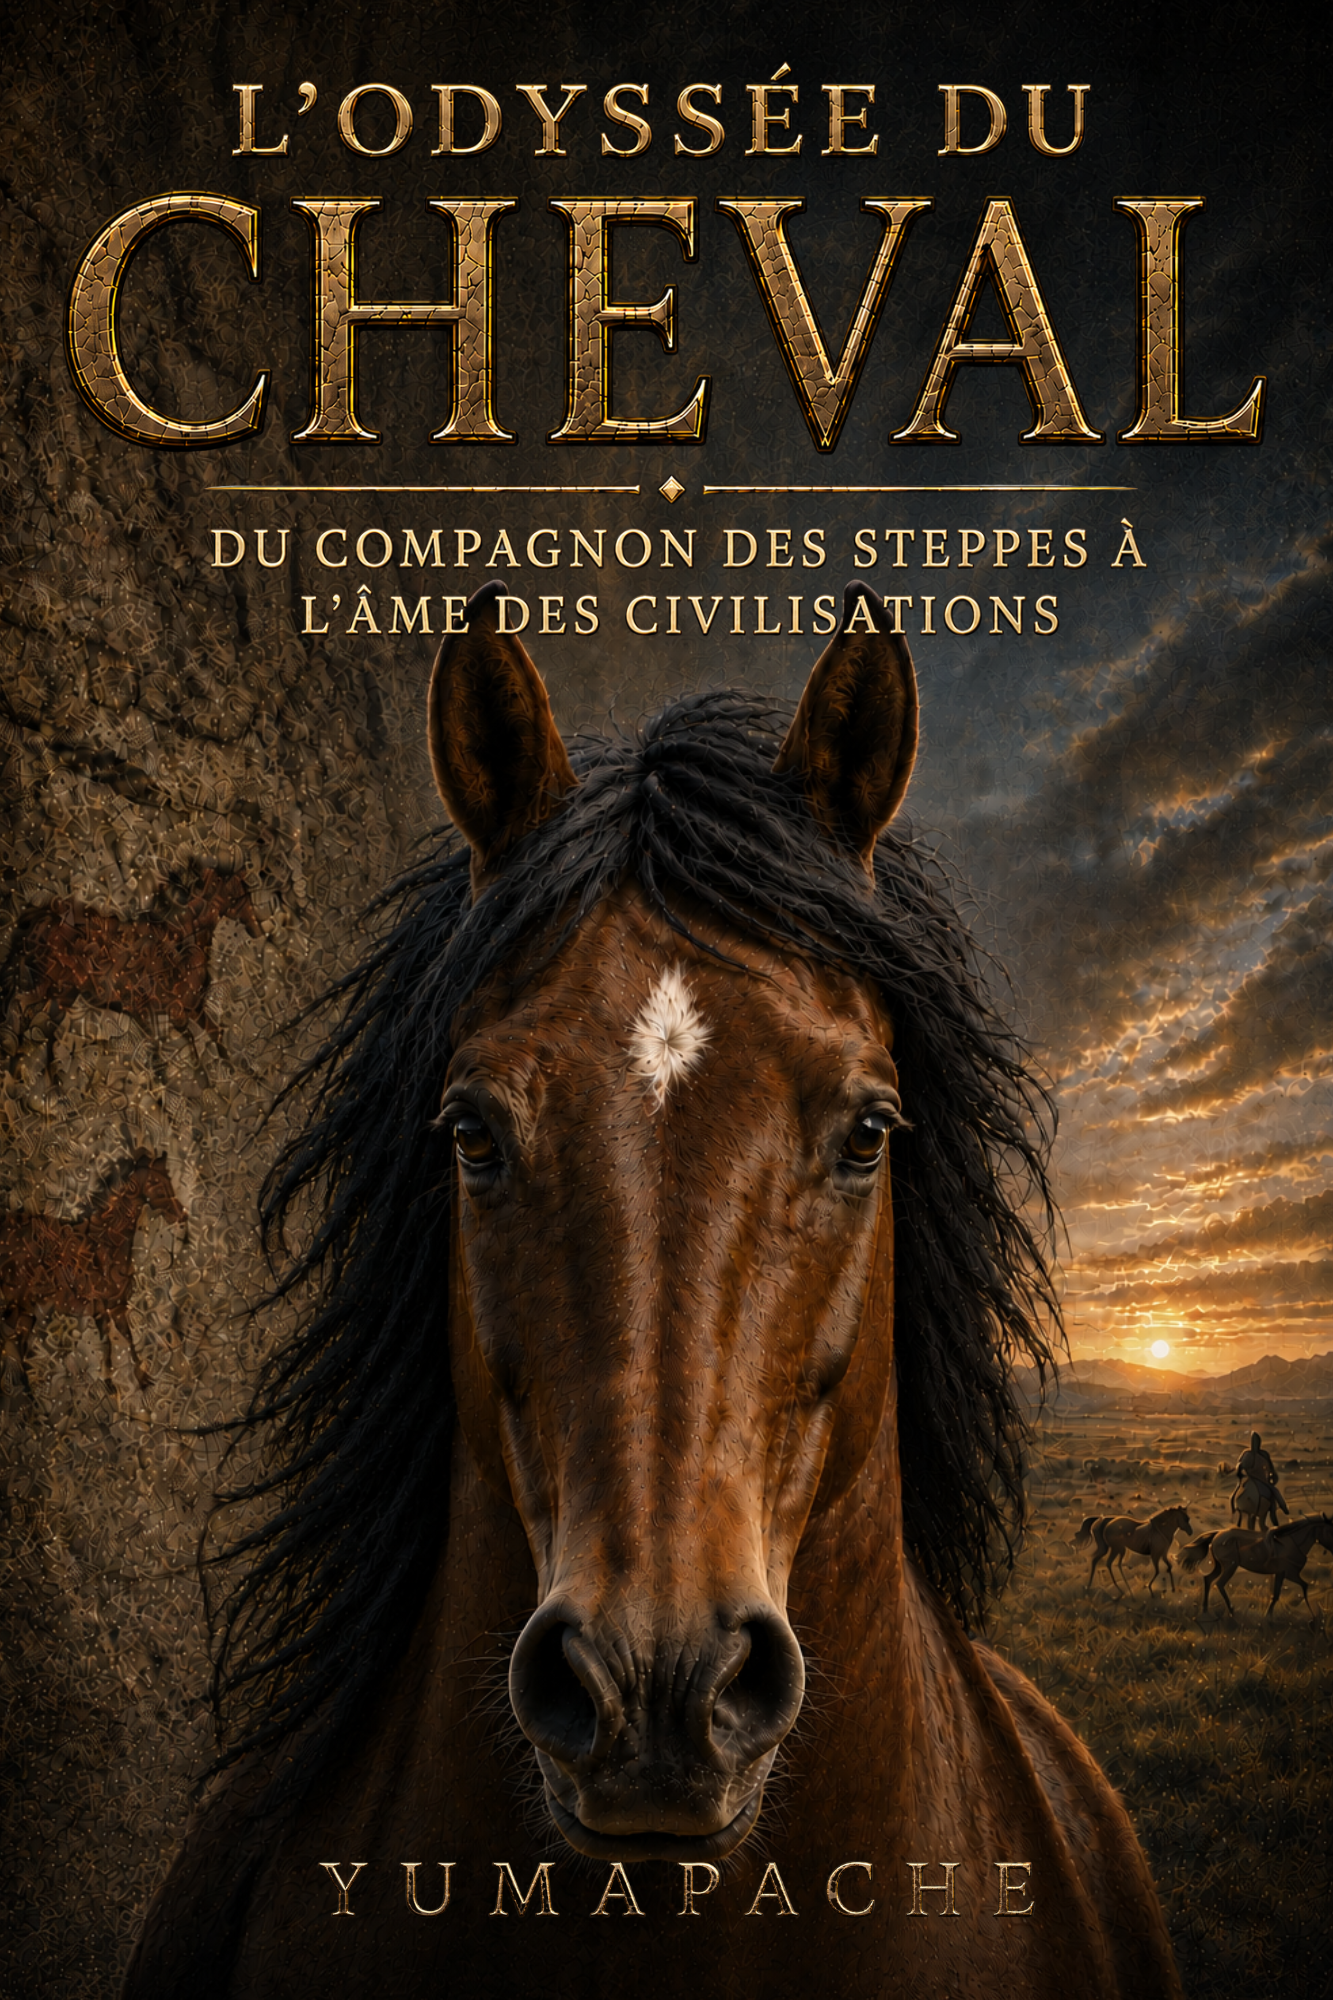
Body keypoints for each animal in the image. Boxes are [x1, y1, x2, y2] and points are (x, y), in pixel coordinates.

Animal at [0, 1150, 185, 1390]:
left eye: (169, 1180)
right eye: (157, 1184)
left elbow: (112, 1340)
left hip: (26, 1308)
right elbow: (120, 1338)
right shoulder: (110, 1307)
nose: (182, 1216)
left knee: (19, 1340)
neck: (107, 1242)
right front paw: (134, 1381)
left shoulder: (111, 1306)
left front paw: (114, 1382)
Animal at [1, 867, 261, 1070]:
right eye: (241, 895)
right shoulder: (167, 1012)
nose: (257, 930)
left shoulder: (186, 1011)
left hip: (60, 994)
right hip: (48, 986)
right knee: (19, 1006)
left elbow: (212, 1038)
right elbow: (182, 1048)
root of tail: (45, 915)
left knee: (41, 1026)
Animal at [1181, 1516, 1333, 1619]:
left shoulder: (1282, 1574)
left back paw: (1205, 1610)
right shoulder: (1289, 1573)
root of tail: (1218, 1534)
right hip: (1230, 1566)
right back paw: (1231, 1611)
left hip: (1219, 1566)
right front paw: (1313, 1615)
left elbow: (1278, 1594)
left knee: (1208, 1579)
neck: (1292, 1542)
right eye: (1331, 1530)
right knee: (1219, 1583)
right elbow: (1301, 1587)